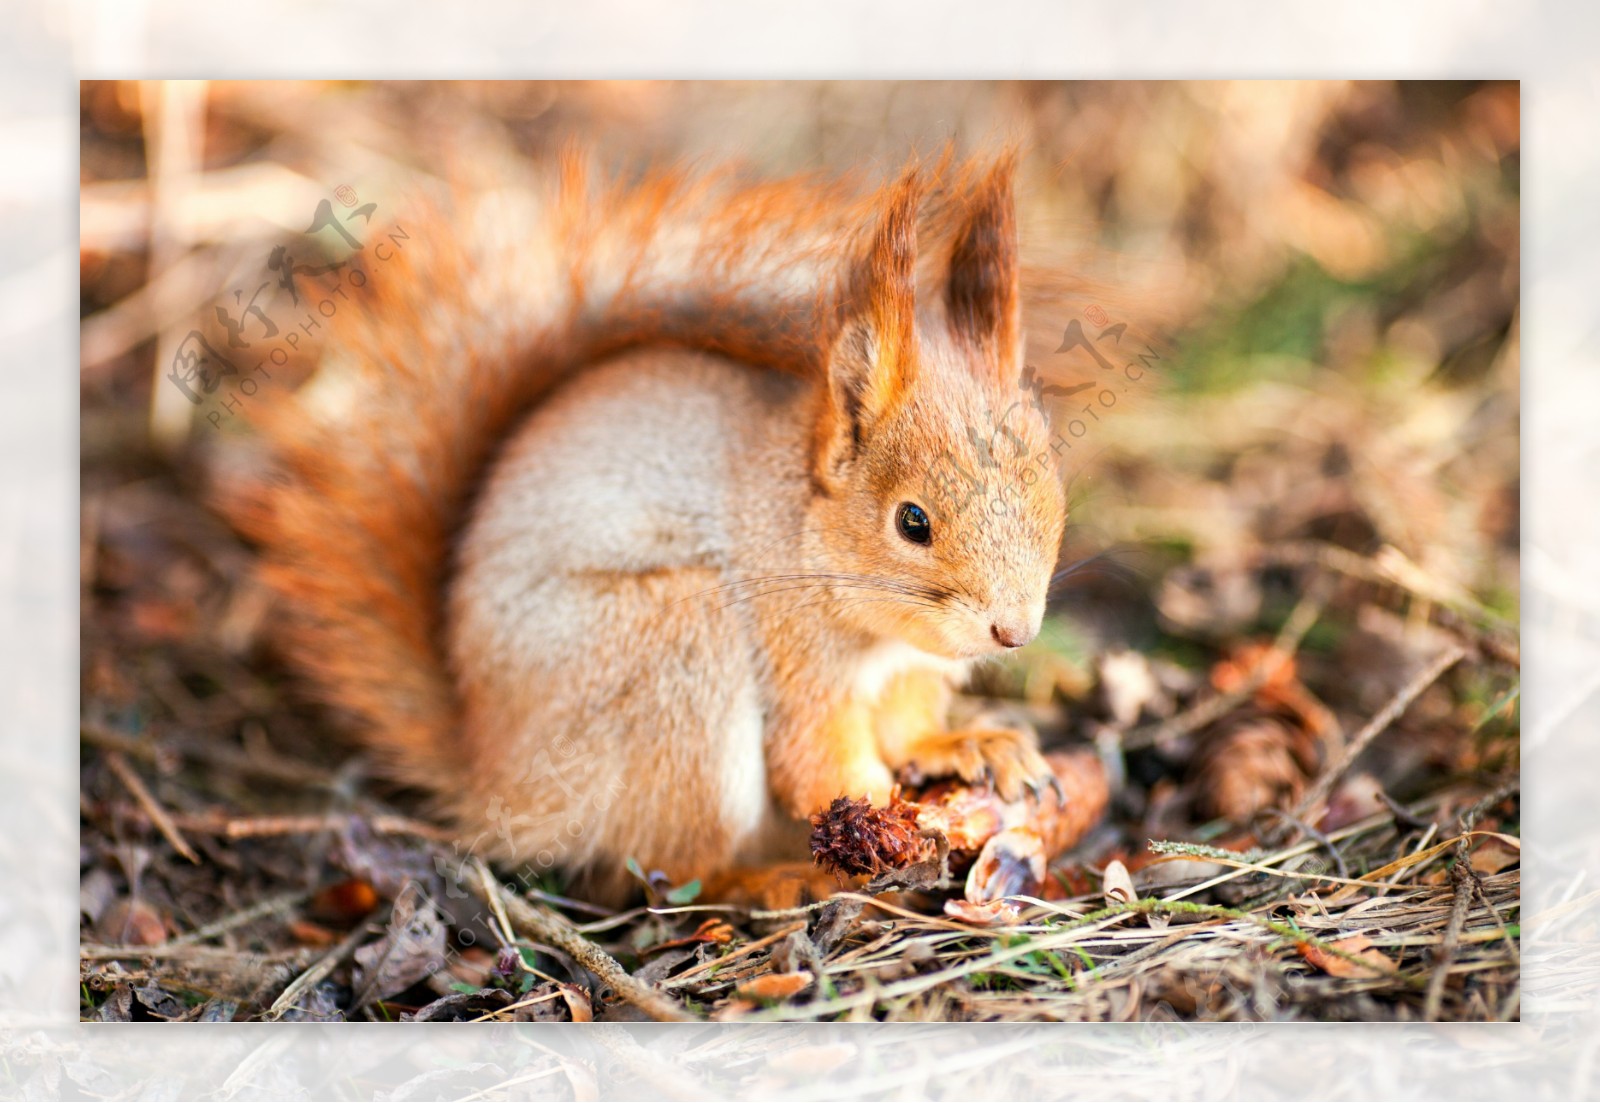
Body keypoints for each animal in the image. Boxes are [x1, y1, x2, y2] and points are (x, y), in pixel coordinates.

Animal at [222, 148, 1075, 902]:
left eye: (1052, 486)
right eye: (912, 521)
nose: (1015, 632)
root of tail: (498, 779)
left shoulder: (907, 670)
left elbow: (905, 729)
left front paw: (970, 746)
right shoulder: (792, 647)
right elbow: (817, 761)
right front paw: (895, 816)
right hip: (679, 656)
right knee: (669, 869)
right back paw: (775, 879)